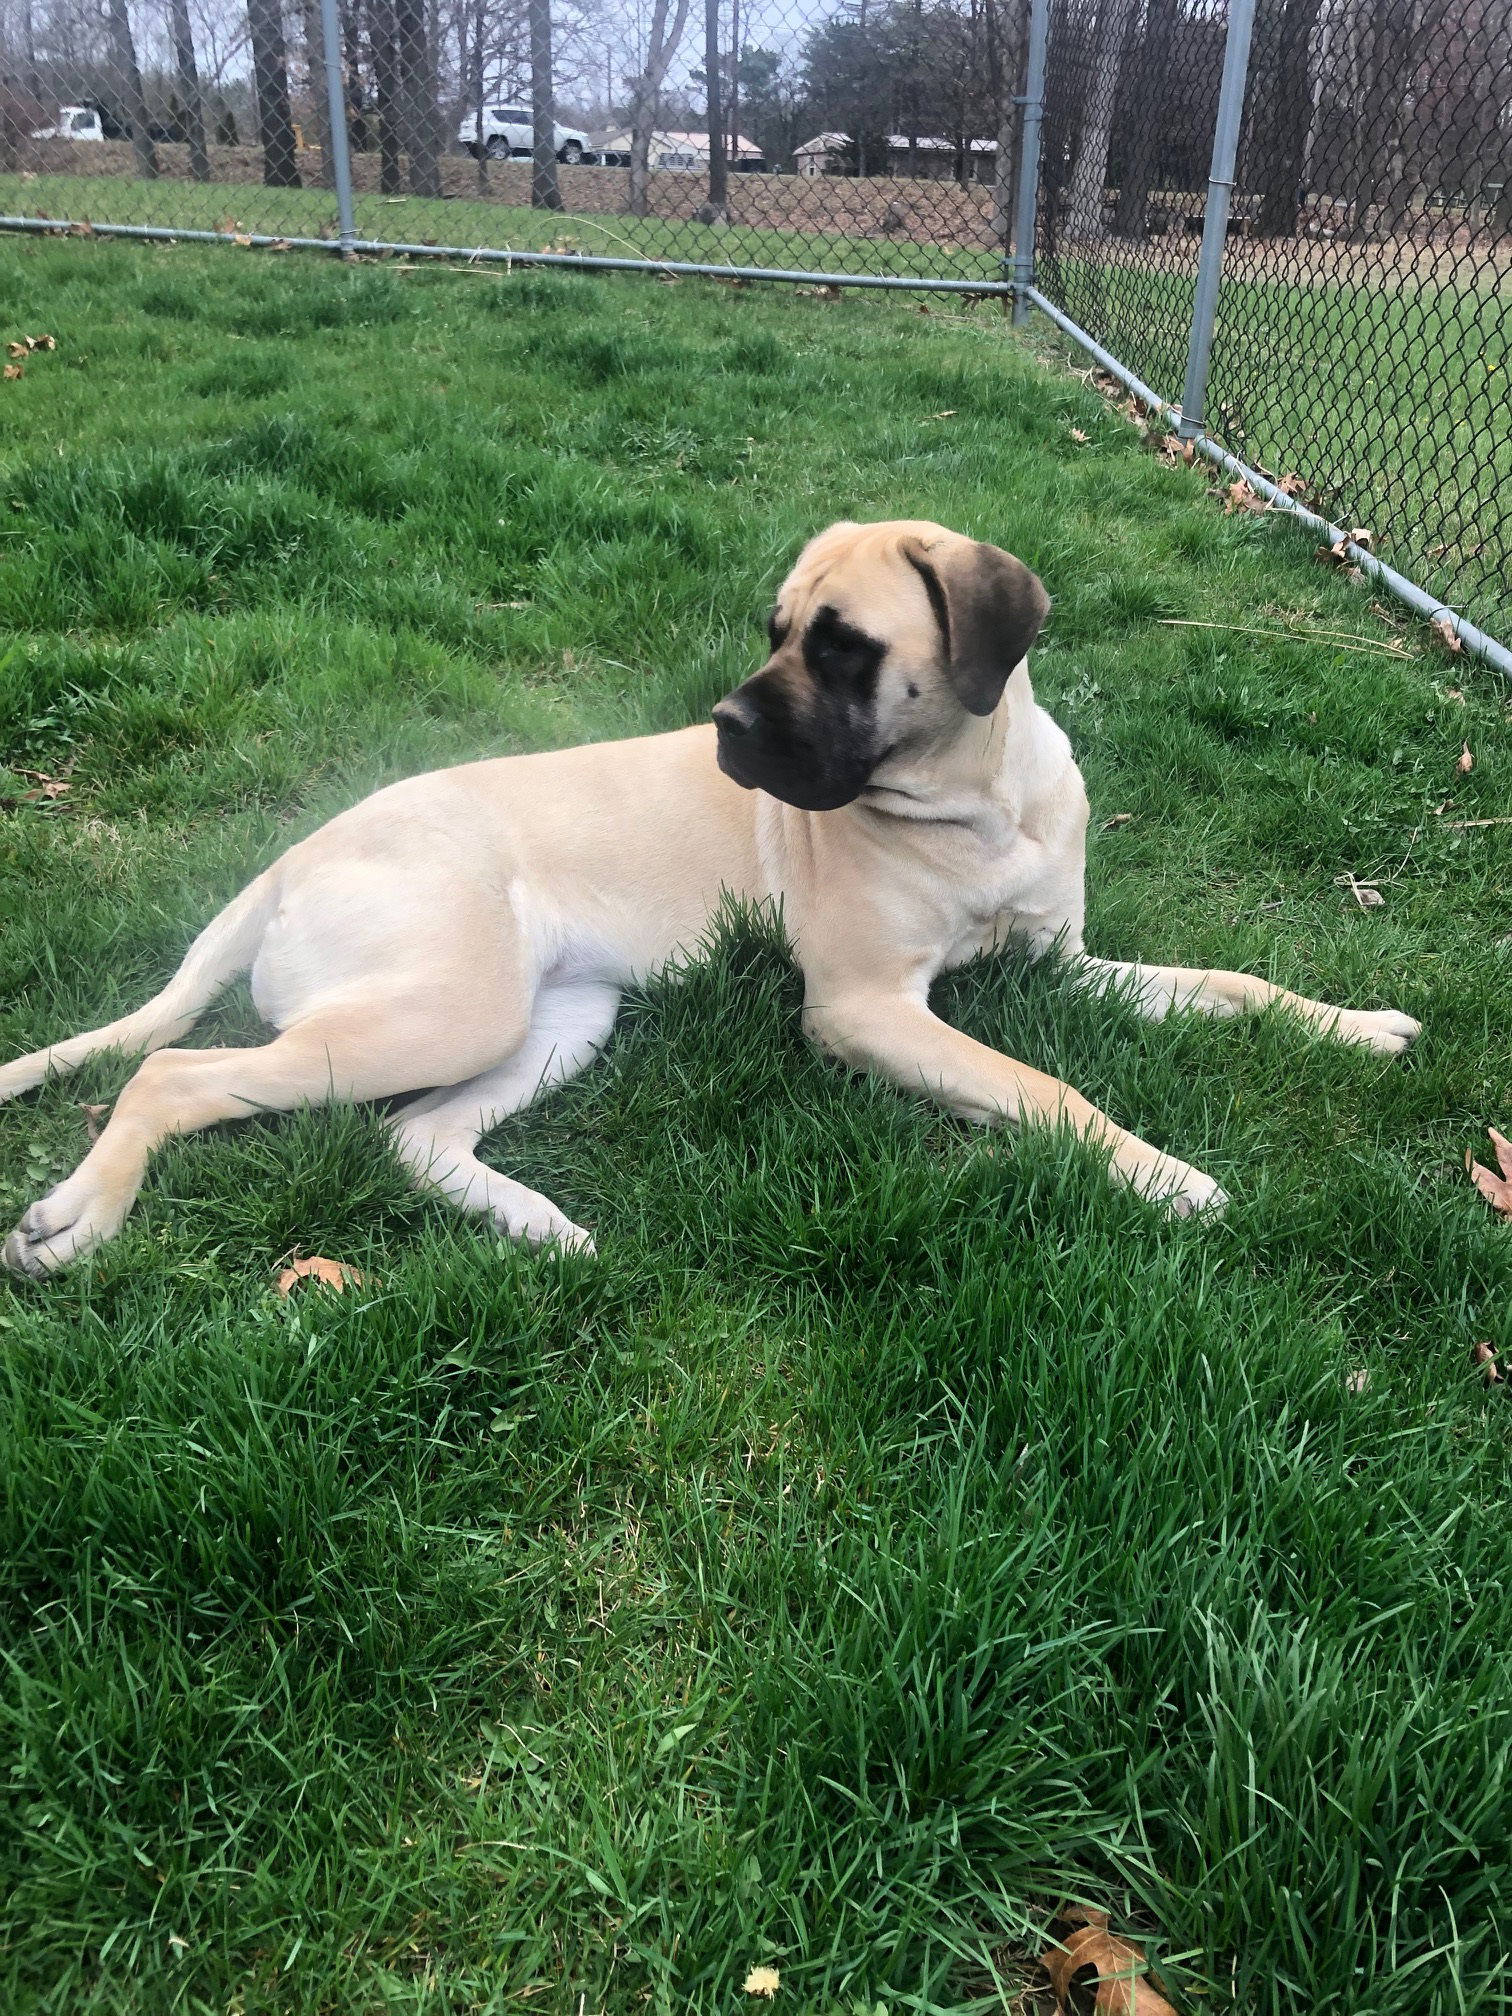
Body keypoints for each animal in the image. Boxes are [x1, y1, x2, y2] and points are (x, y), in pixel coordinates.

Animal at [0, 520, 1427, 1274]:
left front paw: (1353, 1026)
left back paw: (536, 1224)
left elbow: (1233, 985)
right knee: (171, 1073)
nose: (728, 726)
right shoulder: (865, 1012)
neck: (976, 811)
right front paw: (1162, 1174)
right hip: (443, 1005)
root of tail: (292, 856)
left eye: (843, 648)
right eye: (773, 629)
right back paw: (80, 1219)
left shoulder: (1061, 966)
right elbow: (1043, 1086)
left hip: (555, 1017)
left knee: (416, 1138)